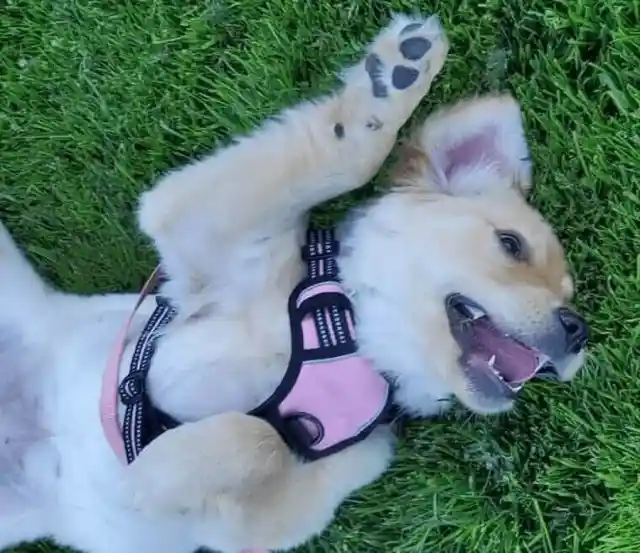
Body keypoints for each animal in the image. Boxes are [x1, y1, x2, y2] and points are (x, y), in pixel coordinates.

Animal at [0, 10, 588, 552]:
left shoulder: (277, 511)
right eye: (511, 245)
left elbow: (259, 438)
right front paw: (396, 77)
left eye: (570, 295)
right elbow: (347, 158)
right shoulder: (192, 220)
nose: (578, 329)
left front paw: (151, 476)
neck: (348, 335)